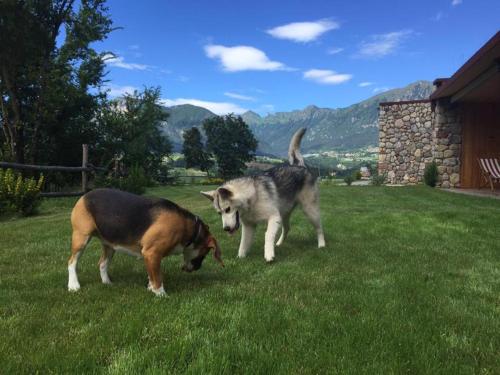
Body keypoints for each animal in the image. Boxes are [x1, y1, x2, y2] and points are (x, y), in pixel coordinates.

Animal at [68, 189, 223, 296]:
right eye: (204, 254)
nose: (196, 268)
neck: (191, 228)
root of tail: (84, 195)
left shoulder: (149, 256)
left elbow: (151, 274)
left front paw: (150, 287)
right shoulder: (152, 253)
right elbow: (158, 277)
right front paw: (161, 294)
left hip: (110, 245)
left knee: (102, 264)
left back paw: (107, 282)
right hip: (81, 238)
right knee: (71, 262)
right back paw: (73, 285)